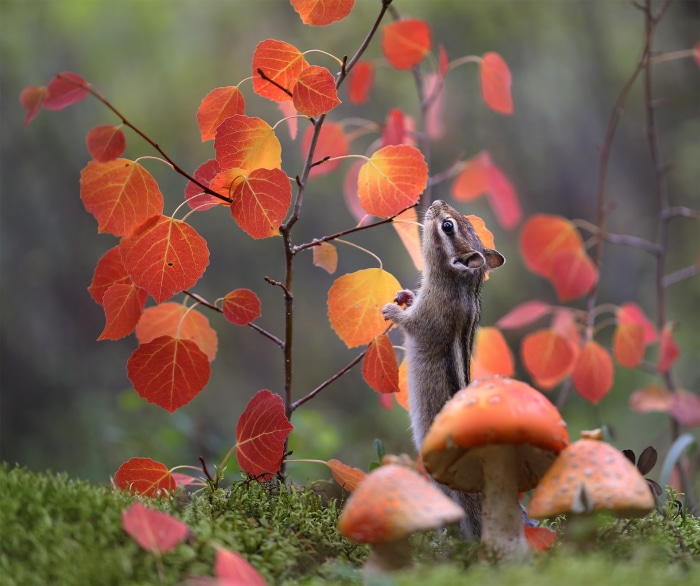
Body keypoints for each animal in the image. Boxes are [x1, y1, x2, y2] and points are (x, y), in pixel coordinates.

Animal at [381, 199, 505, 539]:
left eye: (448, 226)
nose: (436, 203)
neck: (460, 283)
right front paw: (405, 296)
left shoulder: (430, 316)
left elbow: (412, 324)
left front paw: (393, 310)